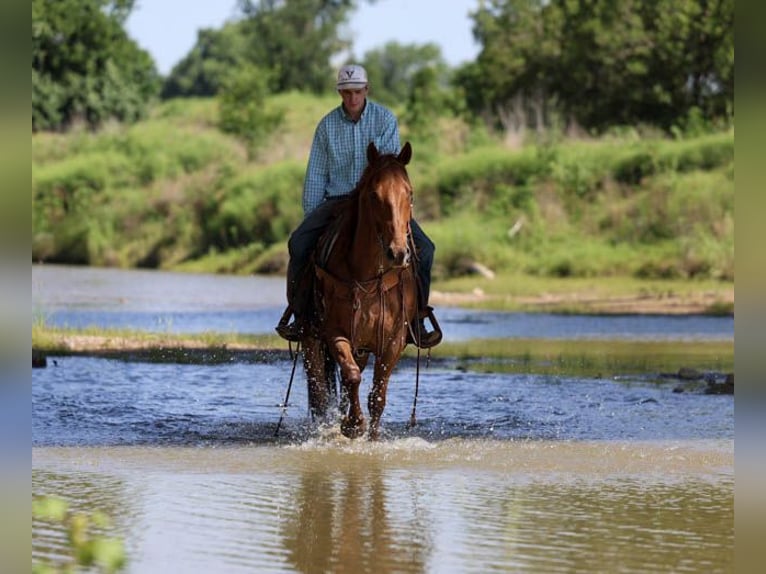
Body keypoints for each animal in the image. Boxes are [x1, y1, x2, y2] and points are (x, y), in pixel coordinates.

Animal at [301, 141, 419, 440]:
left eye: (409, 193)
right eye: (375, 195)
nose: (398, 253)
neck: (367, 276)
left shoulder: (393, 341)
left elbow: (378, 394)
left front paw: (372, 436)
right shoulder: (335, 333)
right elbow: (352, 376)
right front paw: (353, 425)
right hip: (310, 340)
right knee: (319, 390)